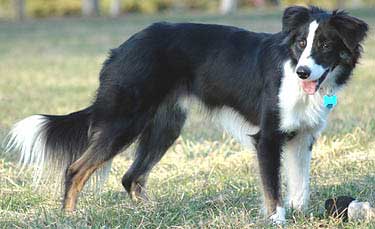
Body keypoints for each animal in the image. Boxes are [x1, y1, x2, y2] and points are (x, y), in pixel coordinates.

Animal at [5, 5, 368, 224]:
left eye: (324, 45)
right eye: (300, 44)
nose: (304, 72)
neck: (291, 72)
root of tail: (121, 49)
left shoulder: (302, 138)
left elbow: (300, 187)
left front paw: (302, 215)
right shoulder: (267, 138)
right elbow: (273, 189)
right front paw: (277, 219)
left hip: (165, 127)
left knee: (130, 176)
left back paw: (148, 213)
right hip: (125, 121)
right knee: (76, 169)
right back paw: (69, 217)